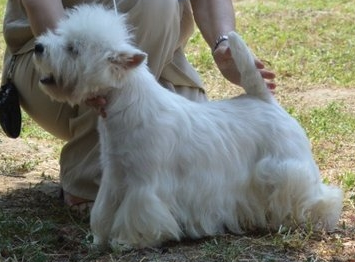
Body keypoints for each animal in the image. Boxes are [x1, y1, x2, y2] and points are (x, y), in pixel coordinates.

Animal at [33, 4, 342, 250]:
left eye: (73, 48)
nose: (38, 47)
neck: (127, 106)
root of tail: (265, 99)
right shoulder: (115, 175)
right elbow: (105, 210)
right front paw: (101, 238)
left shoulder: (144, 183)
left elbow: (138, 212)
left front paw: (128, 241)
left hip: (285, 166)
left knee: (316, 194)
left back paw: (314, 216)